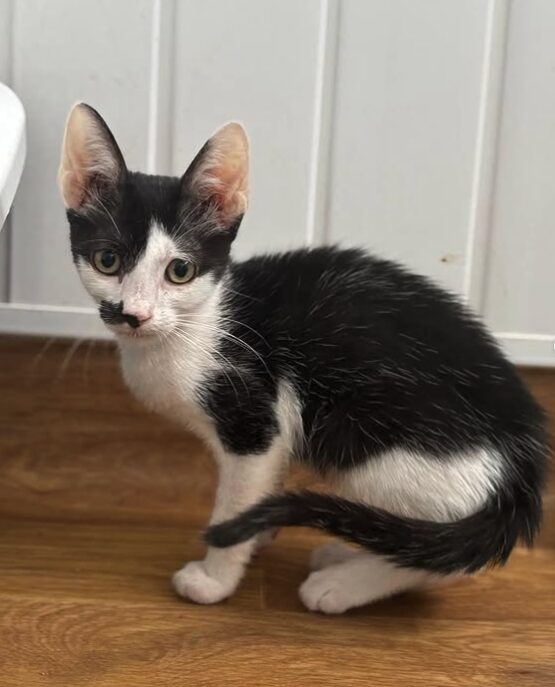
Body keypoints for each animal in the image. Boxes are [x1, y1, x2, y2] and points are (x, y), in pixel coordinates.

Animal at [59, 105, 548, 616]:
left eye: (180, 271)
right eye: (107, 261)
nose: (134, 315)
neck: (192, 329)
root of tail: (522, 467)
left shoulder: (251, 420)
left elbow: (234, 507)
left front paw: (216, 577)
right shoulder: (275, 430)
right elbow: (266, 483)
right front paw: (260, 533)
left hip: (353, 434)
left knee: (446, 556)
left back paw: (340, 584)